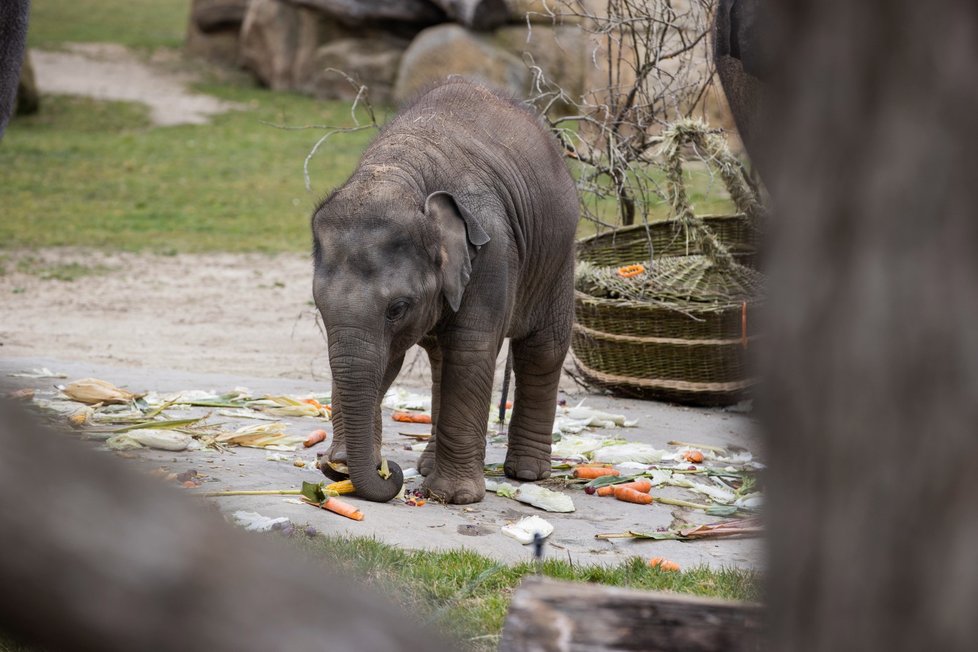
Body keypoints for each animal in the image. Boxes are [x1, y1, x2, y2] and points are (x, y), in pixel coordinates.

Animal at [308, 77, 576, 504]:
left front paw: (453, 497)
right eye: (319, 307)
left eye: (397, 307)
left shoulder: (493, 249)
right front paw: (345, 466)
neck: (398, 173)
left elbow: (470, 351)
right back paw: (428, 466)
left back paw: (527, 474)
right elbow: (383, 361)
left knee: (542, 350)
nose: (389, 470)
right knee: (440, 360)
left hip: (558, 258)